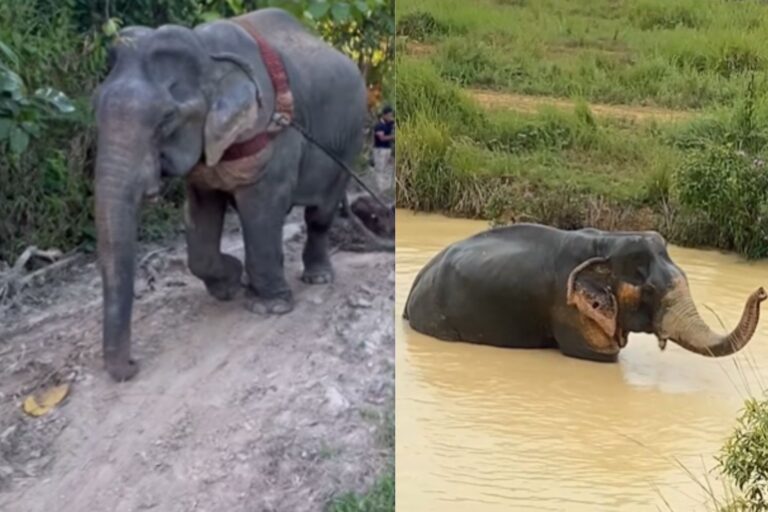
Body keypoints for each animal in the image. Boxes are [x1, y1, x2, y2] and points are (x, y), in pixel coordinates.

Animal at [93, 8, 374, 381]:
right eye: (95, 107)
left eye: (166, 118)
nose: (132, 366)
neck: (206, 51)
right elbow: (201, 216)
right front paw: (230, 285)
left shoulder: (270, 133)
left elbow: (261, 208)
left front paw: (268, 307)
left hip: (349, 145)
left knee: (319, 215)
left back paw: (317, 278)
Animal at [403, 223, 767, 362]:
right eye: (650, 290)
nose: (761, 291)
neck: (608, 242)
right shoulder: (570, 310)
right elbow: (602, 357)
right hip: (436, 318)